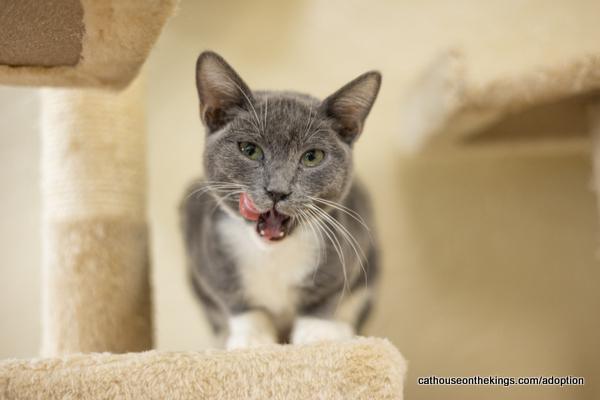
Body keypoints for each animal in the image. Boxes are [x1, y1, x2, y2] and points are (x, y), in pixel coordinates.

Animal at [180, 51, 382, 348]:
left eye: (312, 157)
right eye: (249, 150)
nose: (277, 191)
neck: (271, 255)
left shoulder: (351, 236)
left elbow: (330, 290)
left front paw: (317, 331)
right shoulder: (205, 246)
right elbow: (232, 296)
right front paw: (252, 337)